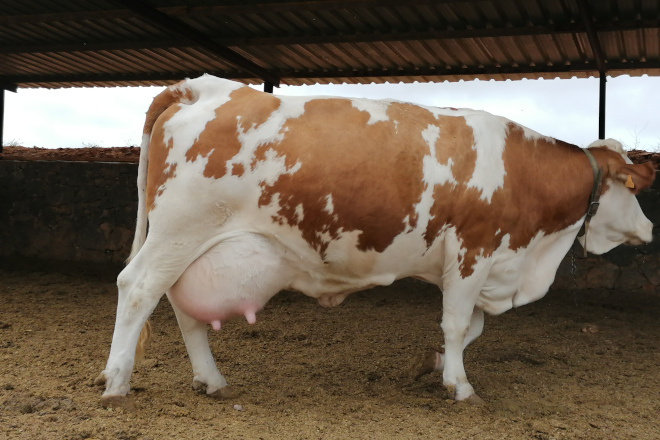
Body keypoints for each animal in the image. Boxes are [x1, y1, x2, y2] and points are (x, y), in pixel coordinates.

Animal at [95, 74, 655, 407]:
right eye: (632, 187)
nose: (650, 228)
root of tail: (203, 85)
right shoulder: (473, 249)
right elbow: (458, 325)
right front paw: (460, 385)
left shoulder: (477, 263)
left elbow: (468, 327)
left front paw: (433, 365)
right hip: (179, 230)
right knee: (138, 289)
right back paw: (116, 381)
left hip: (195, 245)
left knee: (182, 305)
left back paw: (209, 379)